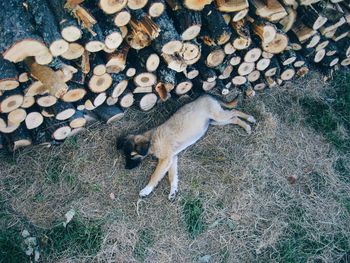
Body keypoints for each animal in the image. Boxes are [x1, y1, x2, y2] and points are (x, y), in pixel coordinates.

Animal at [116, 95, 256, 200]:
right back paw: (246, 126)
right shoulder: (172, 159)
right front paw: (173, 192)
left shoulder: (165, 160)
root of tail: (206, 95)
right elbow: (172, 176)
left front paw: (146, 190)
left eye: (133, 155)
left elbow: (155, 176)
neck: (152, 140)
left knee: (234, 112)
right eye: (125, 155)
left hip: (218, 116)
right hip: (216, 121)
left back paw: (250, 120)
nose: (126, 168)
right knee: (234, 118)